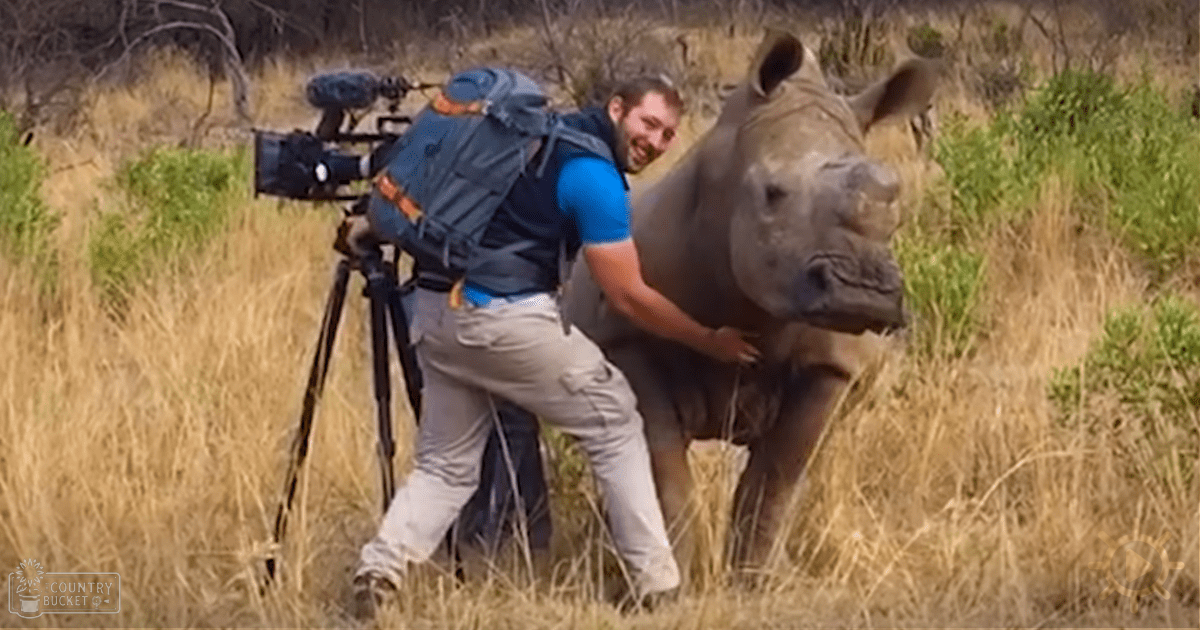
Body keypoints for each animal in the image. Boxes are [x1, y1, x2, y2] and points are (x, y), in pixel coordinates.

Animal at [562, 28, 939, 576]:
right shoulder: (626, 339)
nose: (861, 294)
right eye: (772, 193)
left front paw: (756, 577)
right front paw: (688, 577)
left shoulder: (832, 363)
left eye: (896, 206)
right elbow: (662, 466)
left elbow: (778, 475)